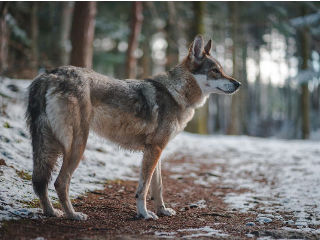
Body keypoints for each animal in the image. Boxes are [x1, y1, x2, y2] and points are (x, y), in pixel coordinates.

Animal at [25, 34, 240, 220]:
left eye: (222, 70)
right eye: (215, 71)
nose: (238, 83)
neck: (177, 93)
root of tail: (49, 75)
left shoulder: (156, 150)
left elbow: (158, 187)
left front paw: (162, 211)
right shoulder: (154, 150)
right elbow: (143, 189)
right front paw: (144, 214)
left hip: (49, 147)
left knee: (40, 182)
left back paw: (51, 212)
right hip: (77, 145)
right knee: (60, 182)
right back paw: (73, 215)